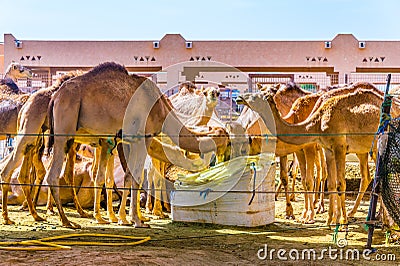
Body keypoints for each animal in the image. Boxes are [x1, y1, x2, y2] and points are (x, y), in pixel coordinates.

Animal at [42, 62, 228, 229]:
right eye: (224, 135)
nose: (223, 155)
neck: (162, 110)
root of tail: (55, 97)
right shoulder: (143, 137)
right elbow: (137, 176)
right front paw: (138, 221)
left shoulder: (128, 140)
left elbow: (128, 176)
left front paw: (126, 219)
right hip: (64, 130)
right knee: (52, 175)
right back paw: (67, 221)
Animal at [236, 88, 398, 225]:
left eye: (258, 96)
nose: (239, 98)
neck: (317, 122)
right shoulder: (328, 149)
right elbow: (331, 183)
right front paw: (330, 219)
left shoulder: (339, 146)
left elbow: (340, 183)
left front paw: (342, 220)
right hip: (365, 150)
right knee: (369, 177)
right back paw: (369, 216)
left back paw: (375, 218)